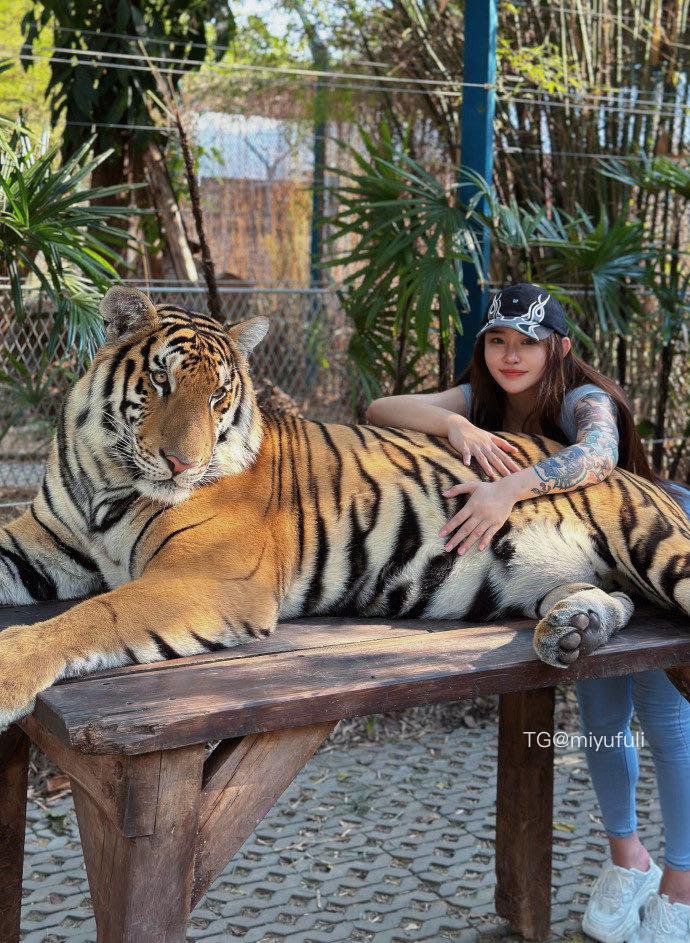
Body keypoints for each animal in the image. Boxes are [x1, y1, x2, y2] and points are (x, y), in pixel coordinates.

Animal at [0, 284, 688, 731]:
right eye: (162, 382)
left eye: (219, 396)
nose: (182, 464)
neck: (107, 477)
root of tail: (636, 473)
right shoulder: (41, 542)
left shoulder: (206, 577)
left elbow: (97, 615)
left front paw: (9, 673)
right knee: (613, 598)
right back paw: (575, 628)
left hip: (661, 548)